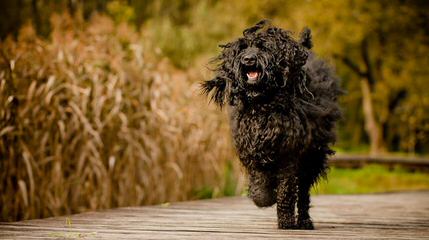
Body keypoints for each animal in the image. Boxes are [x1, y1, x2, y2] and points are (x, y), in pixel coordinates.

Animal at [201, 20, 342, 229]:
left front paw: (285, 220)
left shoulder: (288, 156)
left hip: (312, 157)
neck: (262, 105)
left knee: (303, 193)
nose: (248, 60)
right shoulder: (253, 152)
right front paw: (264, 197)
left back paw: (304, 220)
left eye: (263, 47)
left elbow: (286, 191)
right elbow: (260, 184)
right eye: (243, 48)